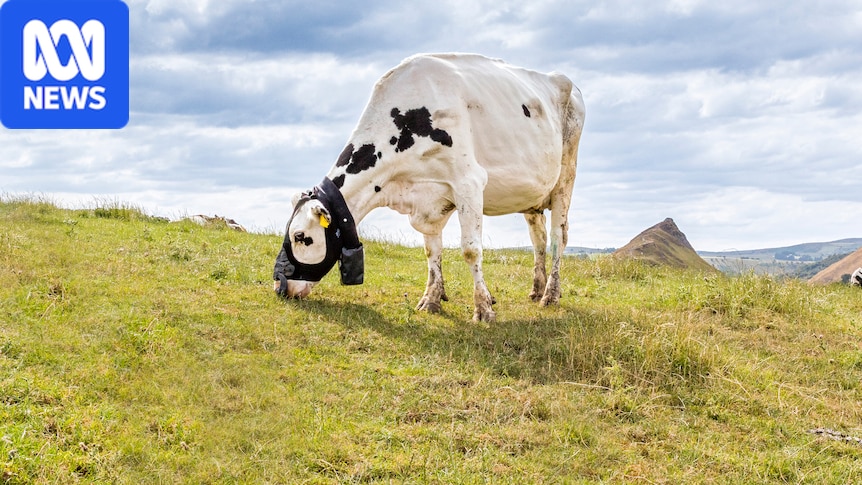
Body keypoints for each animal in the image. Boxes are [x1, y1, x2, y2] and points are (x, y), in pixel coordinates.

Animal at [273, 53, 586, 322]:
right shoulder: (427, 198)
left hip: (565, 177)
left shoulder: (469, 182)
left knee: (558, 237)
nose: (279, 286)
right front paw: (431, 299)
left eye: (300, 236)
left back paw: (550, 295)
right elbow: (431, 251)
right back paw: (536, 288)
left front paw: (483, 308)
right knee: (538, 238)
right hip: (532, 193)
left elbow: (471, 250)